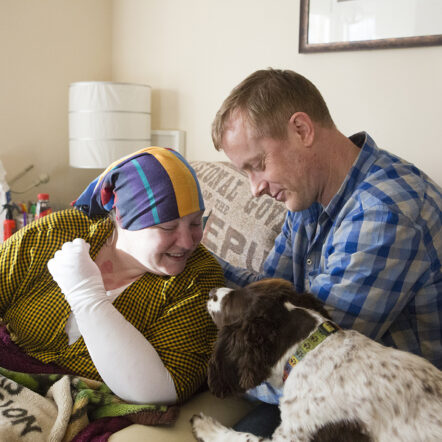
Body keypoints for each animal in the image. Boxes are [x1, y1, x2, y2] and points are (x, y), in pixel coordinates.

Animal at [192, 280, 442, 442]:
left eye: (231, 301)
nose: (211, 291)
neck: (312, 349)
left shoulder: (295, 434)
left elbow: (245, 437)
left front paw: (206, 427)